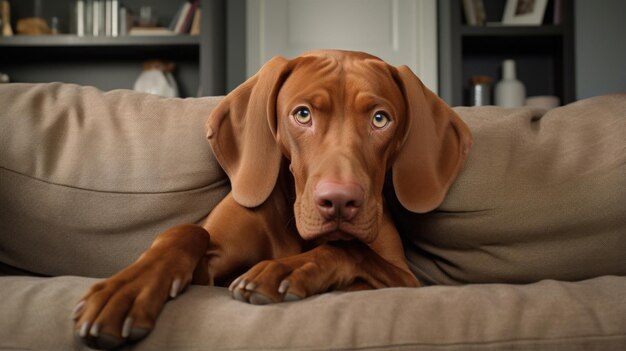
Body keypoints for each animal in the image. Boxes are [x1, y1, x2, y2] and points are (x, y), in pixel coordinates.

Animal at [73, 48, 470, 350]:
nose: (339, 201)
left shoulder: (405, 278)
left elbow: (349, 249)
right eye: (303, 114)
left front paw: (289, 269)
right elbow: (187, 232)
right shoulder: (208, 271)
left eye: (380, 119)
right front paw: (128, 288)